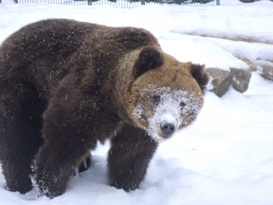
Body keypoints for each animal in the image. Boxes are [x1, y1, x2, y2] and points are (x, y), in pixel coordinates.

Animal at [0, 18, 207, 198]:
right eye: (157, 96)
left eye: (183, 102)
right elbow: (64, 139)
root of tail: (8, 40)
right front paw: (48, 186)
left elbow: (131, 154)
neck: (116, 100)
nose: (167, 126)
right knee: (19, 136)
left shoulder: (137, 126)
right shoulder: (89, 94)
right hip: (22, 86)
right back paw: (20, 184)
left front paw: (124, 185)